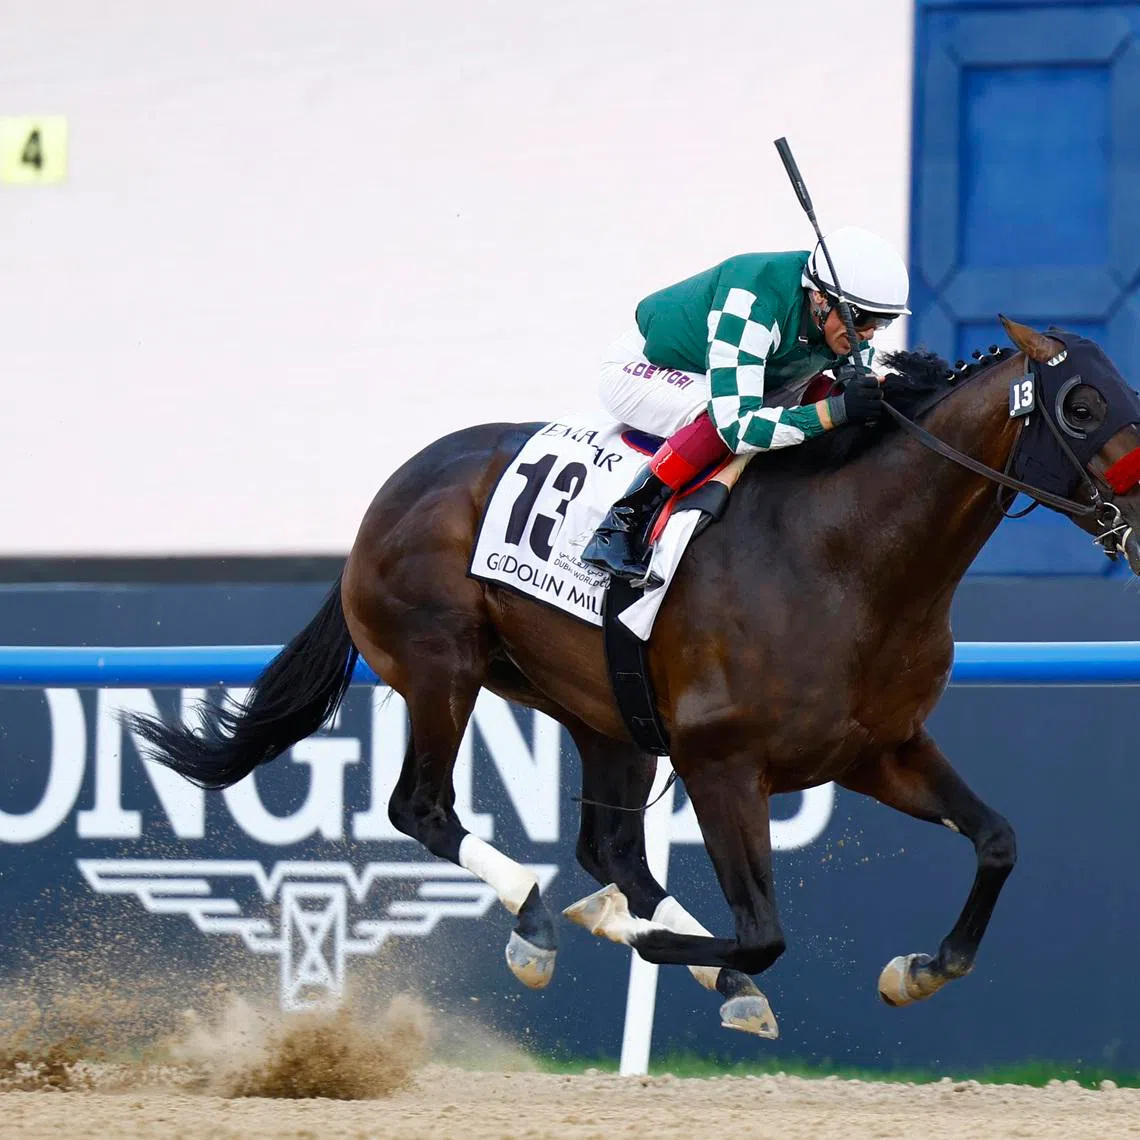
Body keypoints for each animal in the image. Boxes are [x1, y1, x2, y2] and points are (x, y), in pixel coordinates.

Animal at [125, 317, 1140, 1039]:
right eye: (1081, 406)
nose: (1136, 512)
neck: (848, 557)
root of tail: (393, 490)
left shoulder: (879, 749)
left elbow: (998, 840)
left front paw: (920, 970)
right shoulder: (724, 763)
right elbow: (765, 930)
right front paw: (642, 937)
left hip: (603, 711)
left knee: (610, 850)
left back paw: (675, 956)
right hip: (441, 667)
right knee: (424, 808)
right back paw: (541, 924)